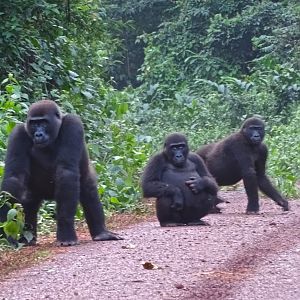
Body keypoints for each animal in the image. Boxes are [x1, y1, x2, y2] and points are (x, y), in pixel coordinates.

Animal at [0, 99, 122, 245]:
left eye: (44, 122)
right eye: (34, 124)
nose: (38, 134)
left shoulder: (72, 124)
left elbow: (66, 172)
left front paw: (66, 232)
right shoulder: (18, 133)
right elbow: (14, 177)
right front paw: (4, 227)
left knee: (89, 191)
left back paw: (101, 233)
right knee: (29, 202)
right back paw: (27, 239)